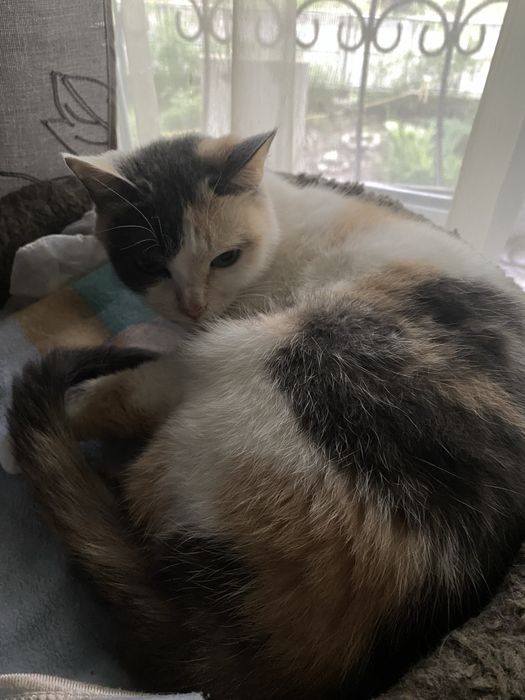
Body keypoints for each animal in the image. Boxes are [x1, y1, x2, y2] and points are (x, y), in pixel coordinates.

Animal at [8, 130, 525, 699]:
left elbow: (133, 390)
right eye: (152, 264)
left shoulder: (202, 347)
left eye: (226, 258)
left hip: (259, 358)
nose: (193, 307)